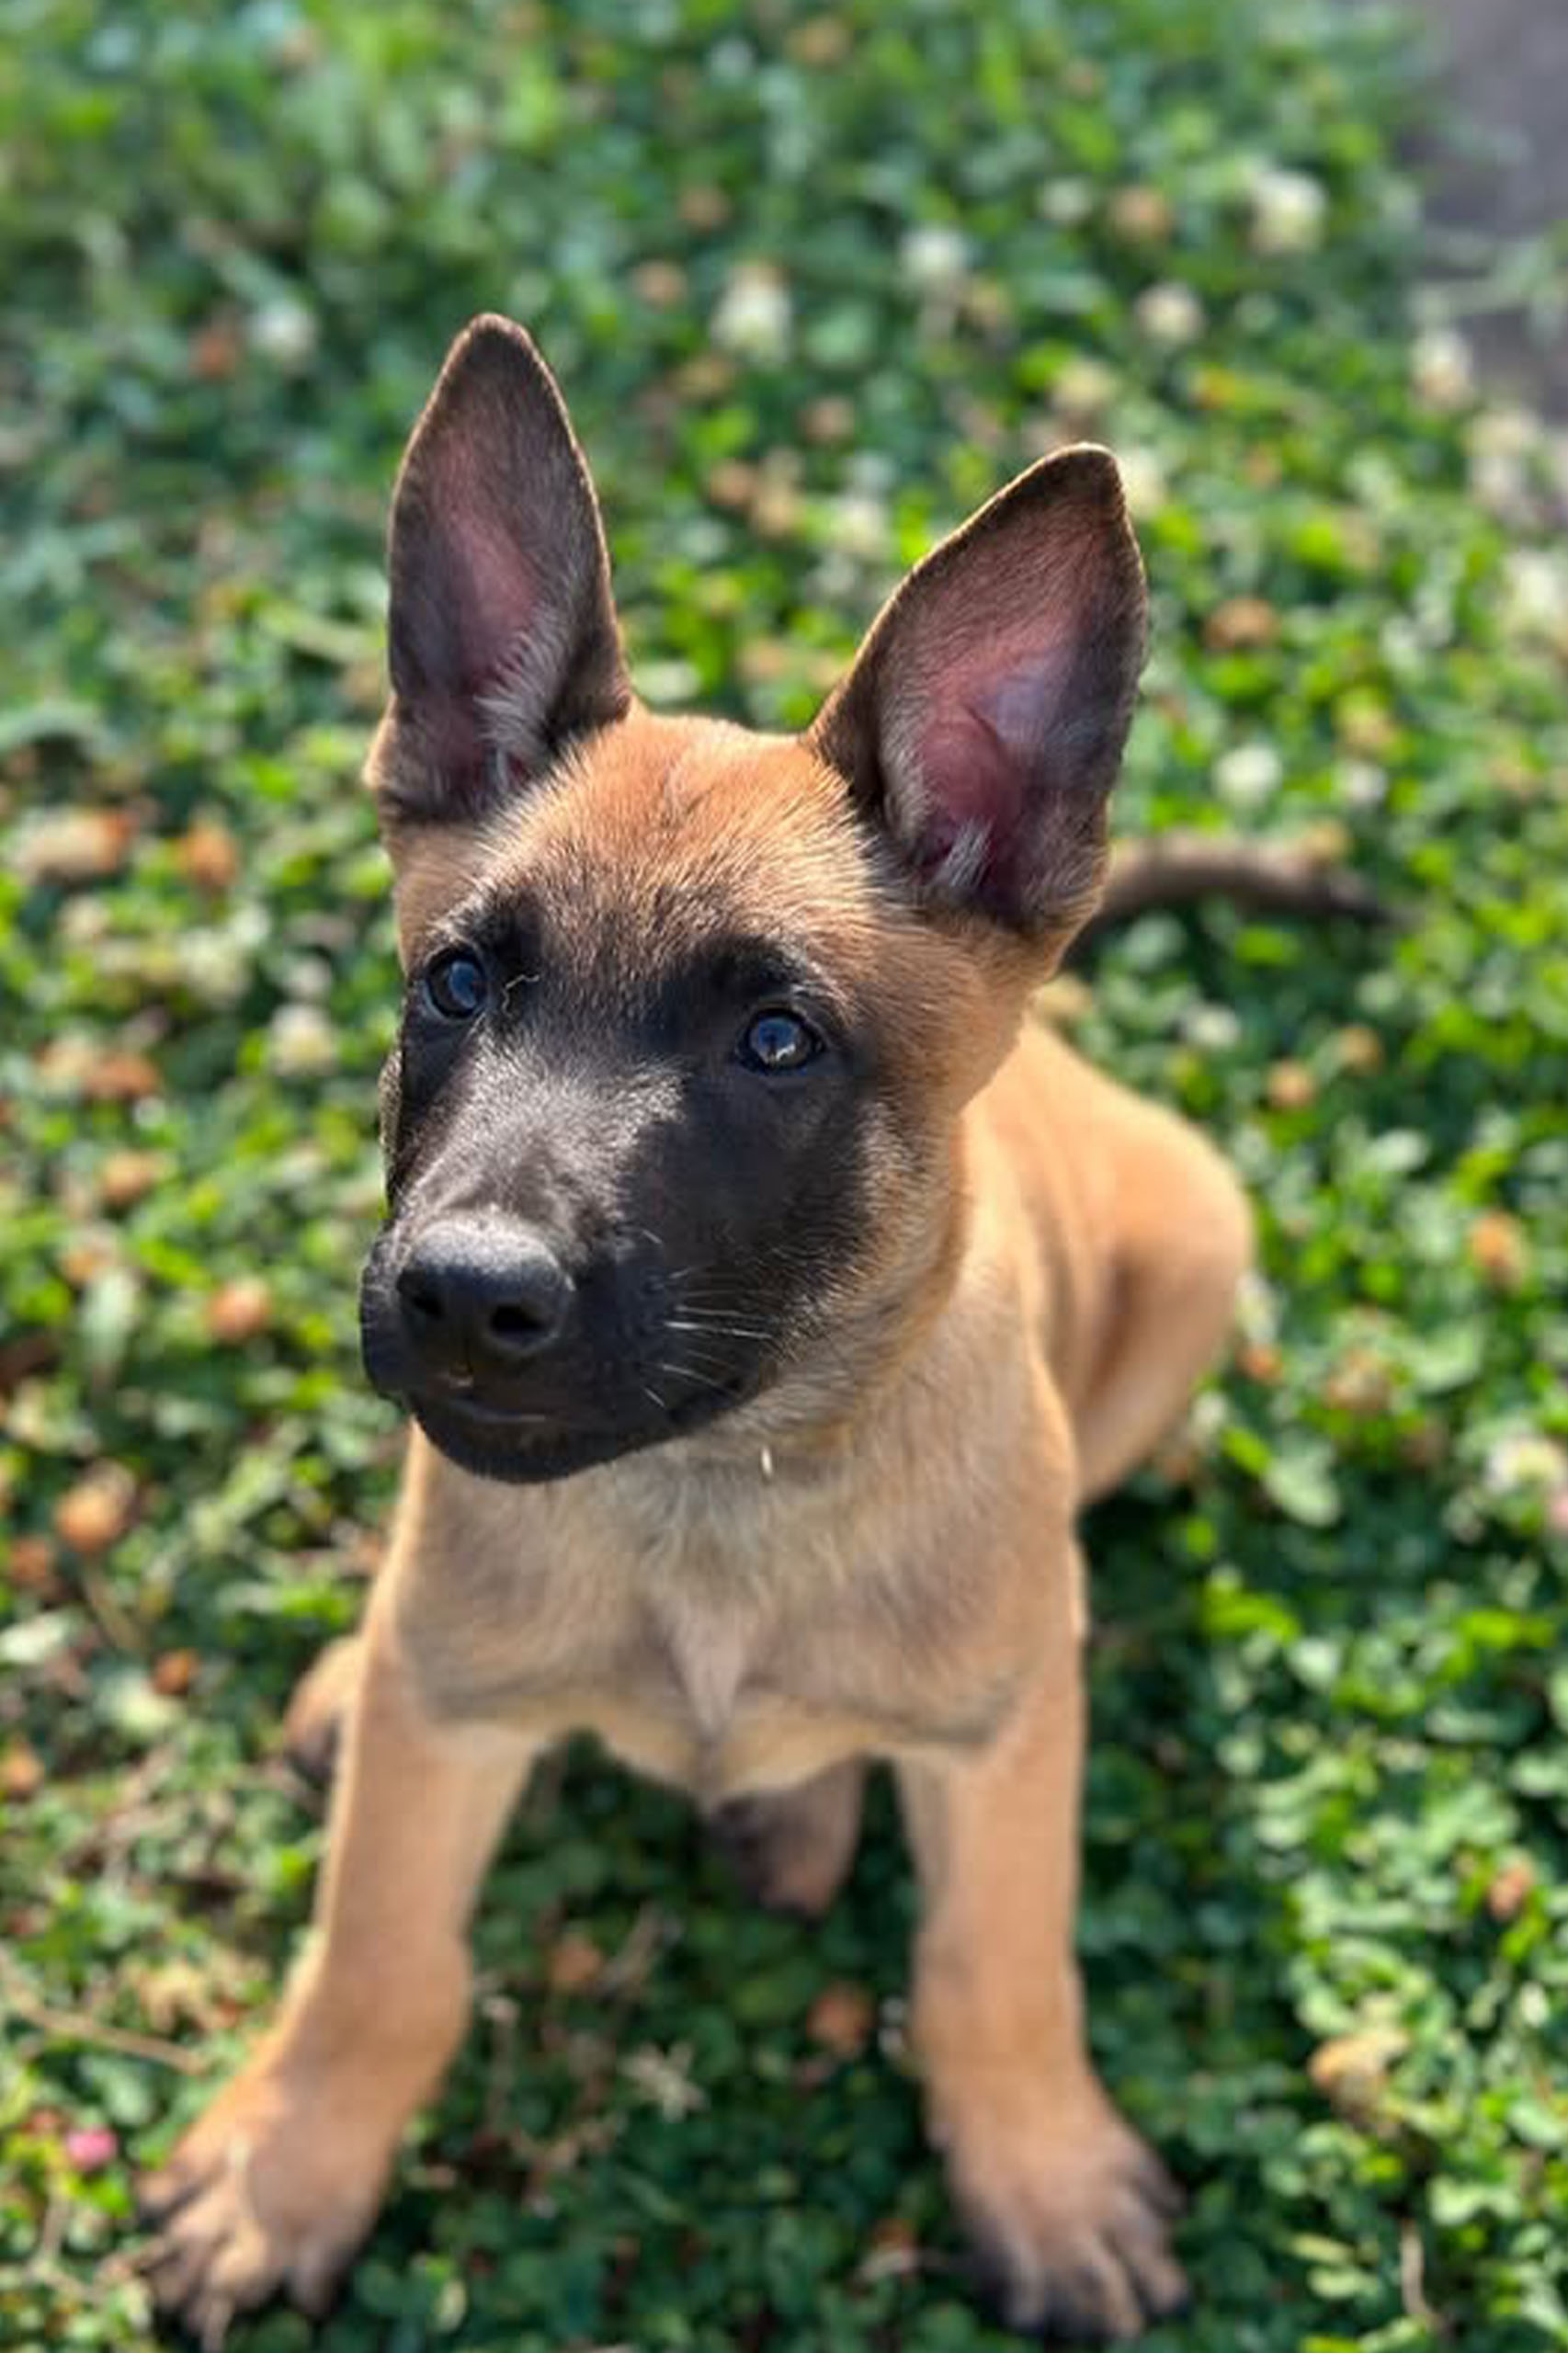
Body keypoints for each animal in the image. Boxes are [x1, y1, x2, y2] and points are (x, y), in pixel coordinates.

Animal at [141, 317, 1252, 2353]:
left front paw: (1040, 2167)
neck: (714, 1493)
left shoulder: (995, 1753)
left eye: (777, 1041)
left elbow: (995, 1962)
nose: (461, 1294)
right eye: (458, 981)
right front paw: (289, 2160)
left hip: (1200, 1242)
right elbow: (378, 1953)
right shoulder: (447, 1735)